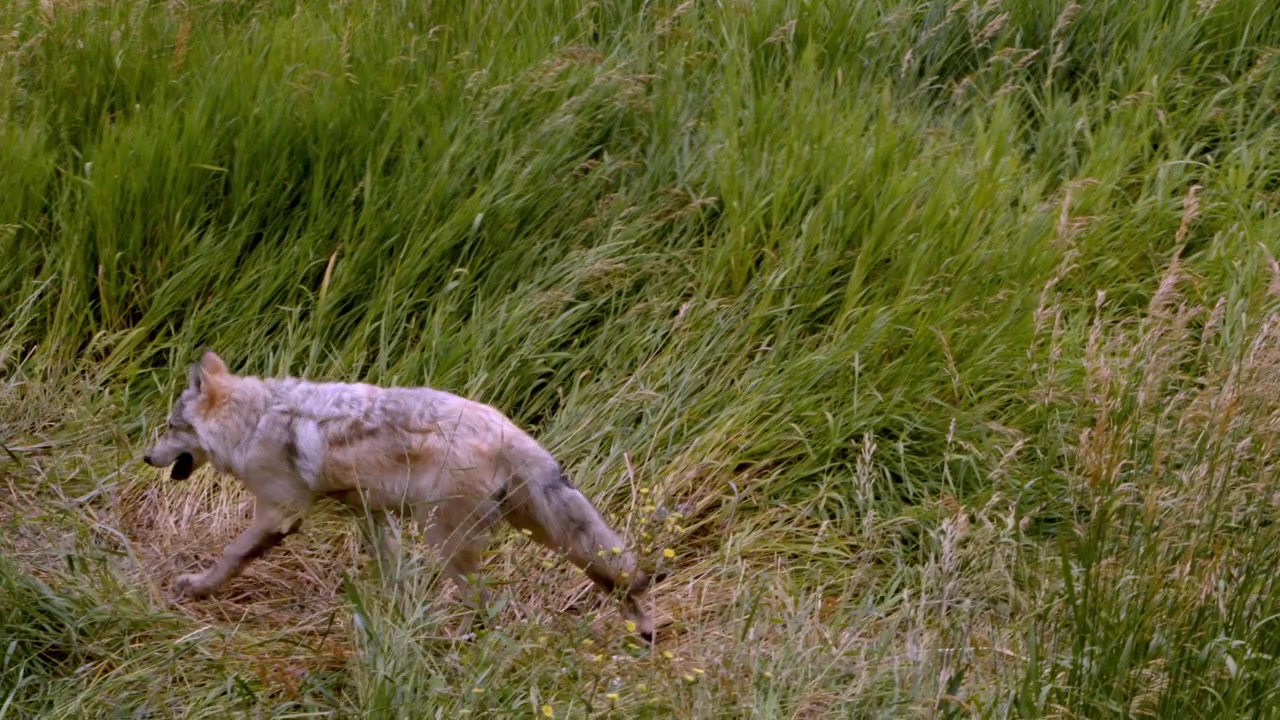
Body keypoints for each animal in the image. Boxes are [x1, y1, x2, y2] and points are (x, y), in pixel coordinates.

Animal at [141, 351, 655, 644]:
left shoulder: (279, 513)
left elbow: (231, 556)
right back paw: (644, 629)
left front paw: (196, 588)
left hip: (446, 540)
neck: (252, 420)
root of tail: (507, 428)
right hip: (546, 534)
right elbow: (394, 577)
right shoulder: (372, 515)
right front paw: (392, 617)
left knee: (484, 606)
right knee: (617, 576)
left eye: (168, 427)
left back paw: (451, 644)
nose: (146, 457)